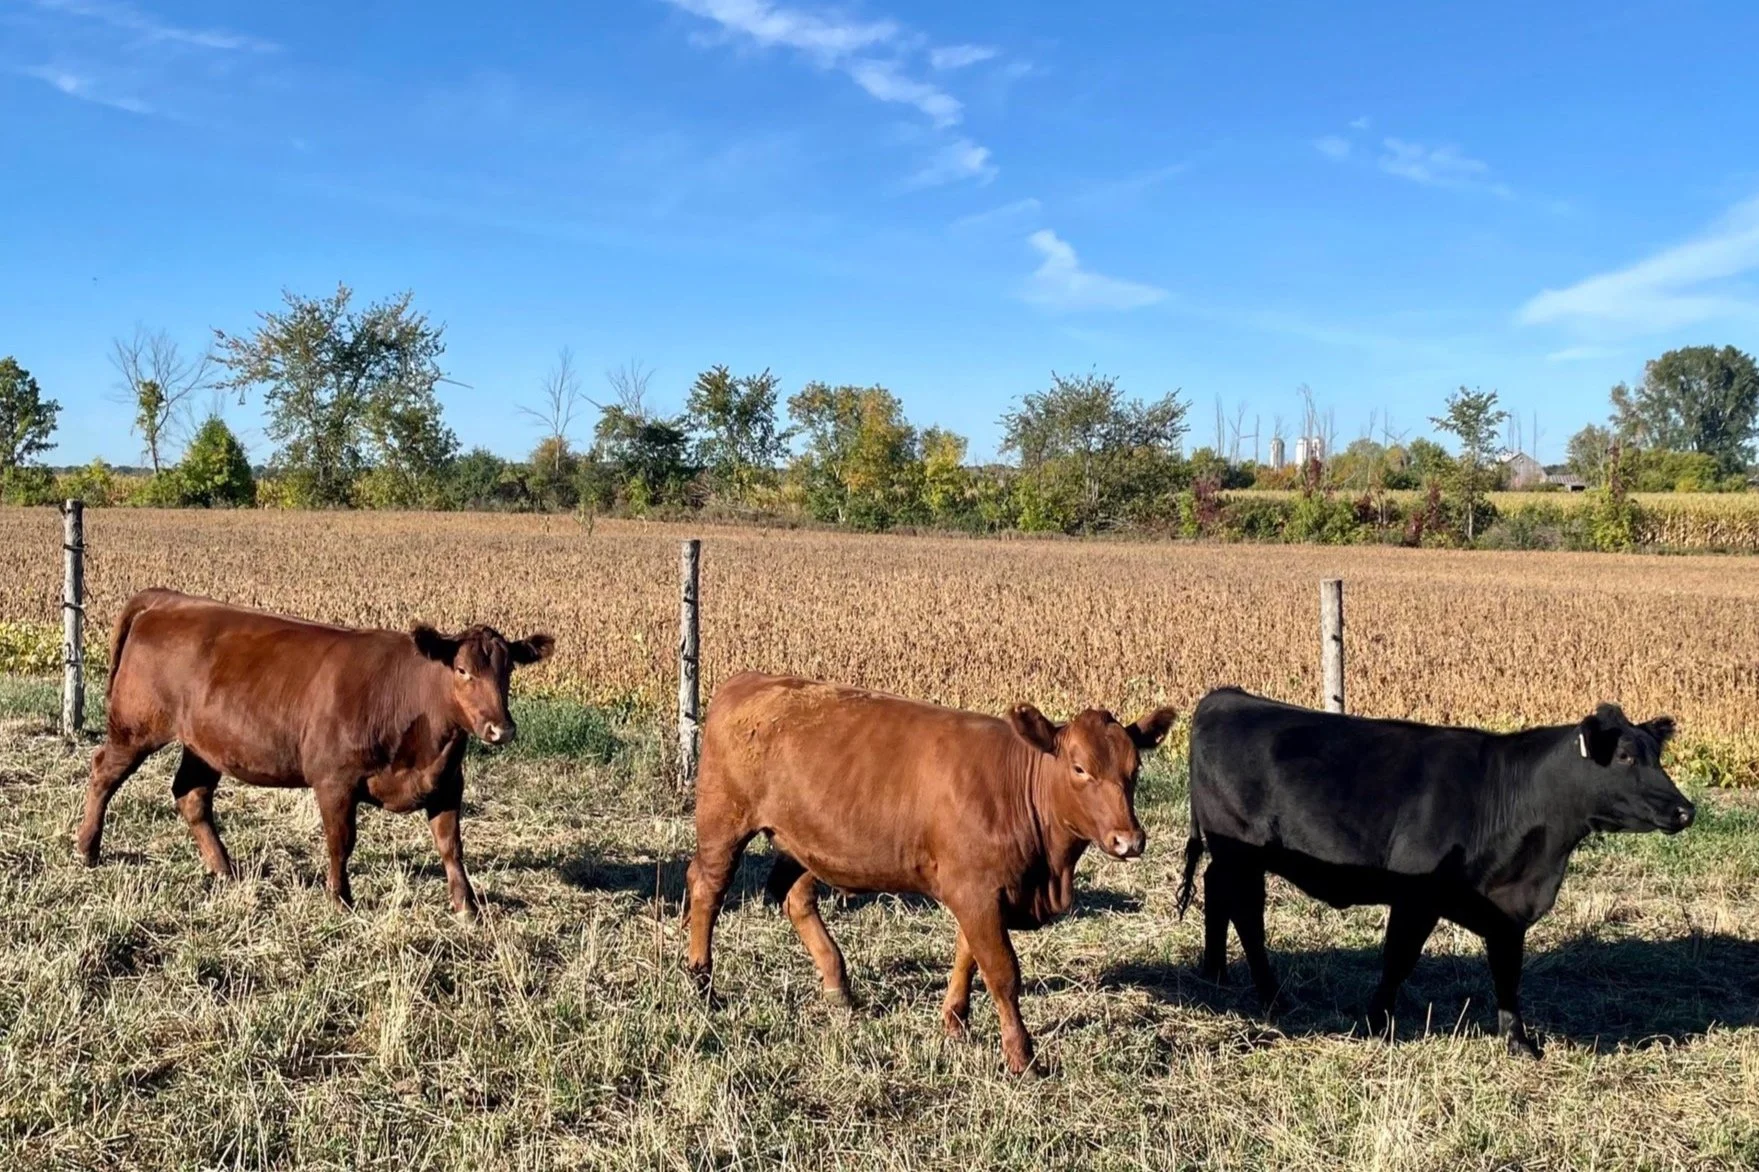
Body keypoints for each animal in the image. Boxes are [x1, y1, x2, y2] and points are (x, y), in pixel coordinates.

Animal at [75, 588, 554, 918]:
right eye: (461, 670)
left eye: (507, 670)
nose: (501, 728)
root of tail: (167, 599)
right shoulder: (334, 780)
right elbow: (341, 841)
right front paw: (340, 899)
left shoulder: (447, 782)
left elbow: (451, 846)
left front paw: (466, 906)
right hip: (135, 729)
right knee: (103, 774)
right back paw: (87, 849)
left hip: (205, 745)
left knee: (191, 796)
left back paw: (225, 870)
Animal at [684, 671, 1178, 1075]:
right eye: (1079, 768)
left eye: (1134, 769)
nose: (1129, 840)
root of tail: (750, 680)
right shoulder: (975, 890)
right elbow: (1001, 971)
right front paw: (1022, 1057)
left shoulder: (981, 891)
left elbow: (967, 954)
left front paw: (955, 1020)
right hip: (723, 823)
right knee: (707, 889)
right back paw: (702, 984)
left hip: (808, 844)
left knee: (796, 897)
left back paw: (837, 985)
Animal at [1181, 687, 1694, 1058]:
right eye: (1625, 756)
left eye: (1657, 756)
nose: (1685, 810)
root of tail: (1226, 696)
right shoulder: (1417, 898)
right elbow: (1398, 960)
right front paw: (1377, 1024)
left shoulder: (1509, 911)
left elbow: (1507, 974)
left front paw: (1519, 1042)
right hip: (1243, 855)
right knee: (1248, 916)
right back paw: (1272, 996)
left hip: (1231, 857)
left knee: (1215, 890)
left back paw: (1215, 973)